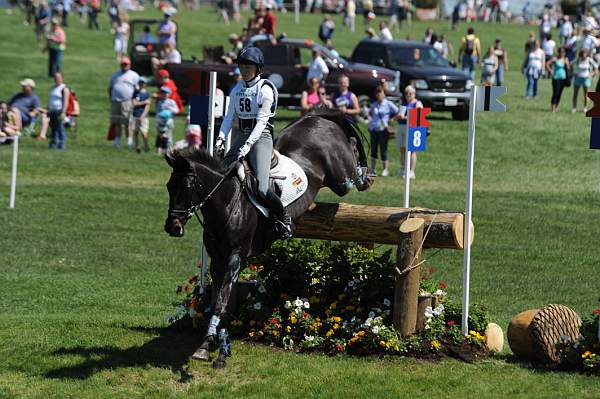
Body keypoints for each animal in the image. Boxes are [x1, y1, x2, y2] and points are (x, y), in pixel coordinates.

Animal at [163, 109, 370, 368]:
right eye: (169, 186)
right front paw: (217, 347)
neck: (227, 203)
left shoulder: (235, 257)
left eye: (187, 186)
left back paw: (365, 175)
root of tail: (316, 118)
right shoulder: (217, 260)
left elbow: (221, 303)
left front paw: (210, 348)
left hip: (340, 178)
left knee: (351, 159)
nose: (172, 227)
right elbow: (222, 303)